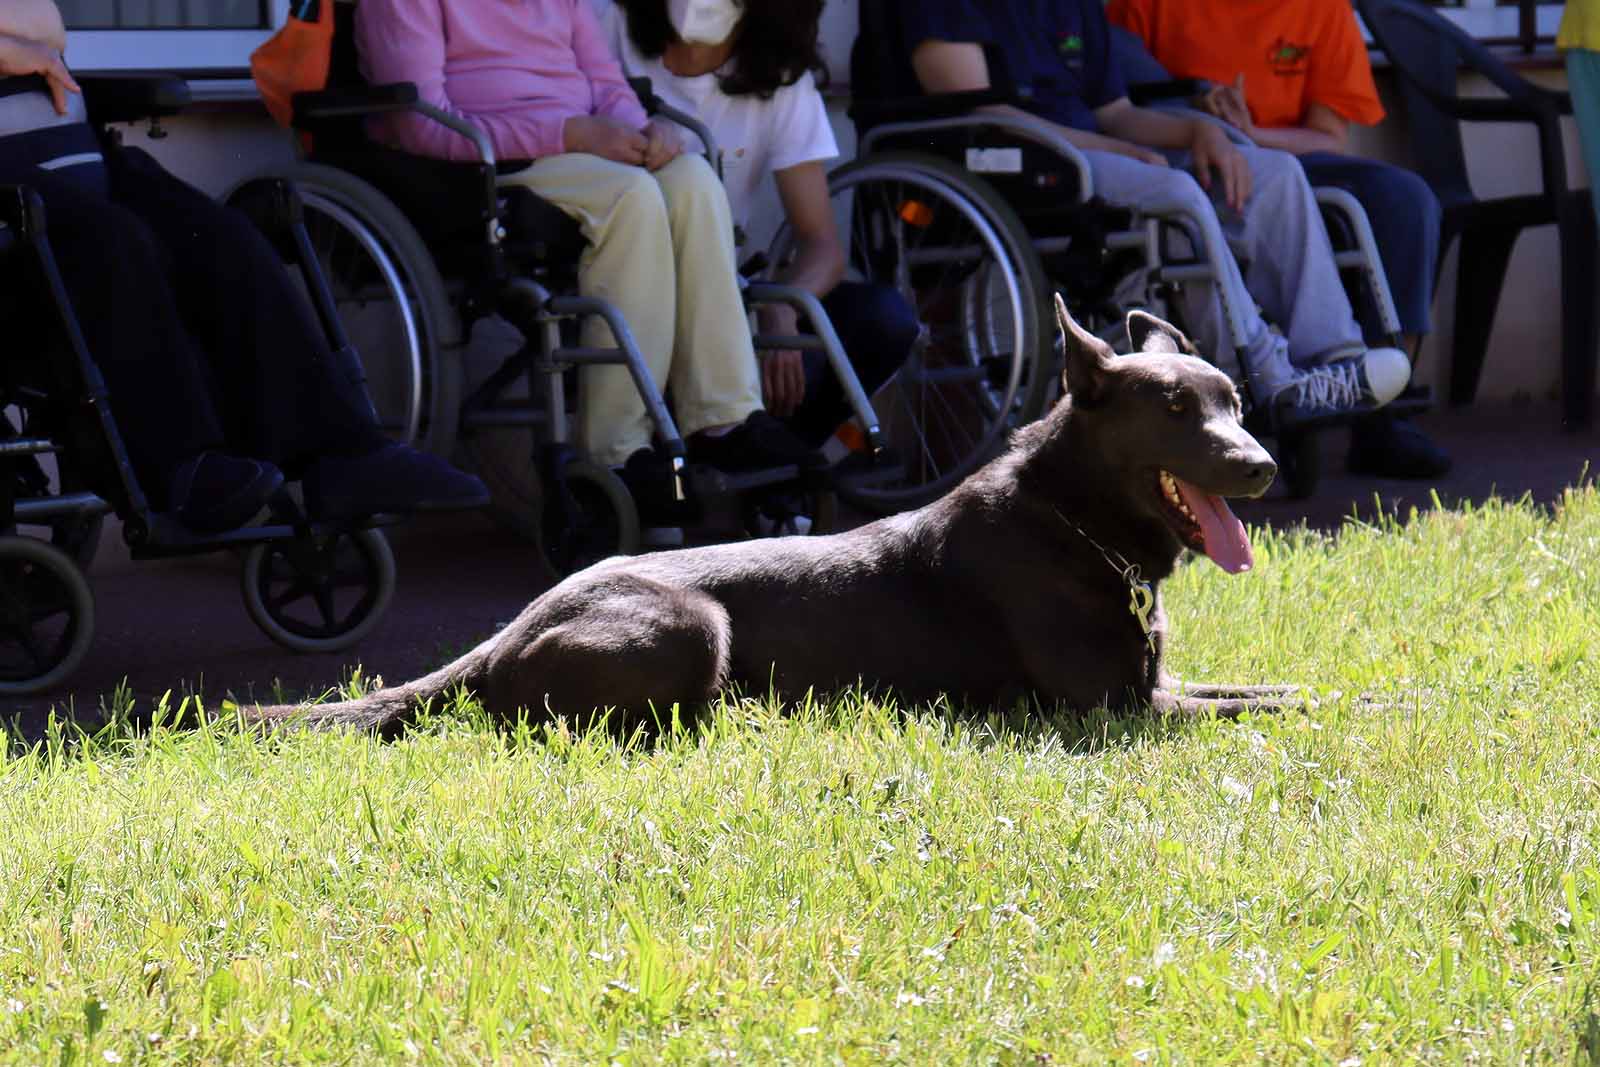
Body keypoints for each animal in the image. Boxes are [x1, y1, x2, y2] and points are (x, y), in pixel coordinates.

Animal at [252, 300, 1299, 735]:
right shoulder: (1118, 704)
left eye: (1234, 401)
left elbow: (1276, 689)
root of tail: (505, 632)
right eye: (1175, 410)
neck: (1072, 516)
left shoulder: (1159, 682)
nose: (1262, 466)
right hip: (688, 622)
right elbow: (1266, 710)